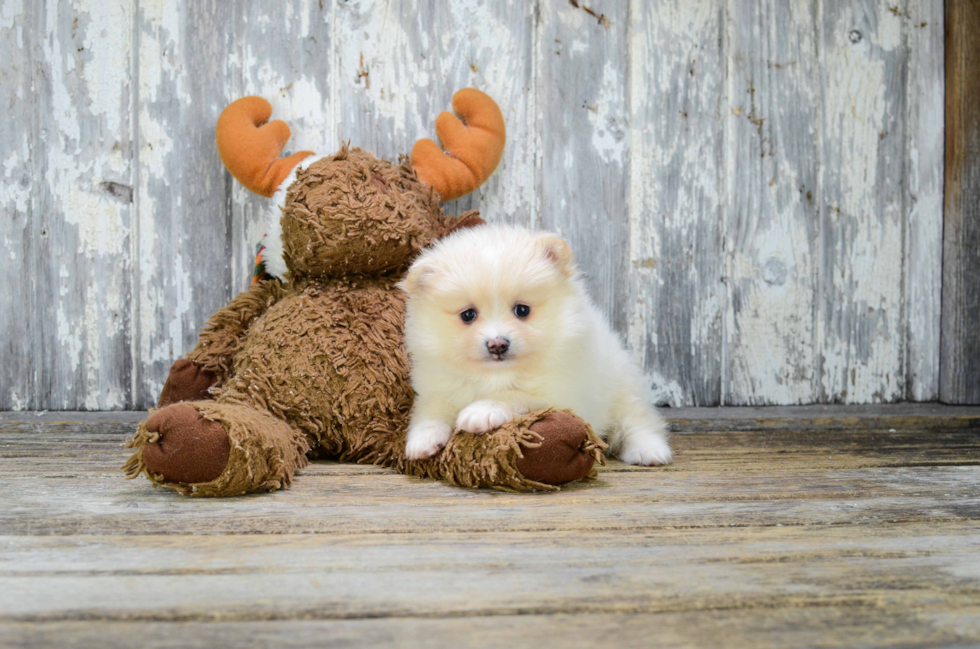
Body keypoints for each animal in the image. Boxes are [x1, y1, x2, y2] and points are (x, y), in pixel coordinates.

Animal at [400, 224, 672, 466]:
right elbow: (432, 409)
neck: (495, 376)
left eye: (522, 310)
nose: (497, 344)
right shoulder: (438, 387)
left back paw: (648, 450)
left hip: (624, 387)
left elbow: (513, 395)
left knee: (638, 421)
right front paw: (422, 439)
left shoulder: (558, 394)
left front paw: (482, 411)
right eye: (468, 315)